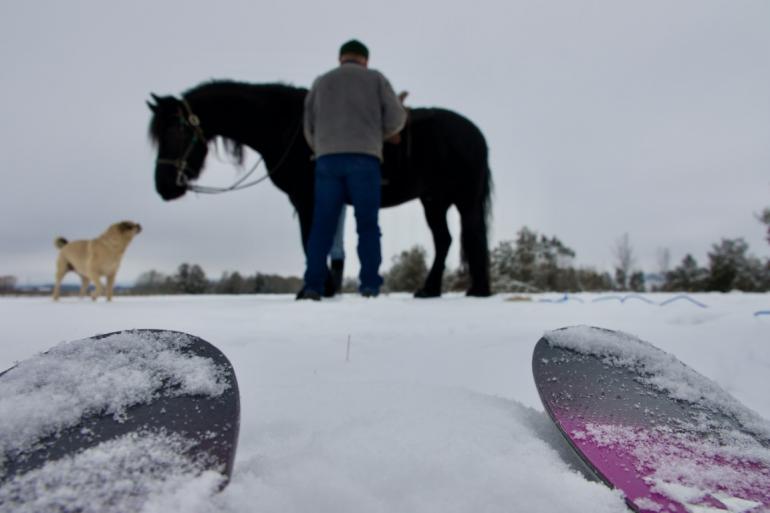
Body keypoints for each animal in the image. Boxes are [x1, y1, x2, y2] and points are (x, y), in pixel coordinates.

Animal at [148, 80, 492, 297]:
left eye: (176, 132)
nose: (163, 186)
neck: (287, 126)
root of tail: (475, 133)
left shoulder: (307, 198)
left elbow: (311, 239)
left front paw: (314, 289)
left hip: (463, 200)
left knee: (472, 237)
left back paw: (478, 290)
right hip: (435, 201)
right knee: (445, 241)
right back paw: (431, 290)